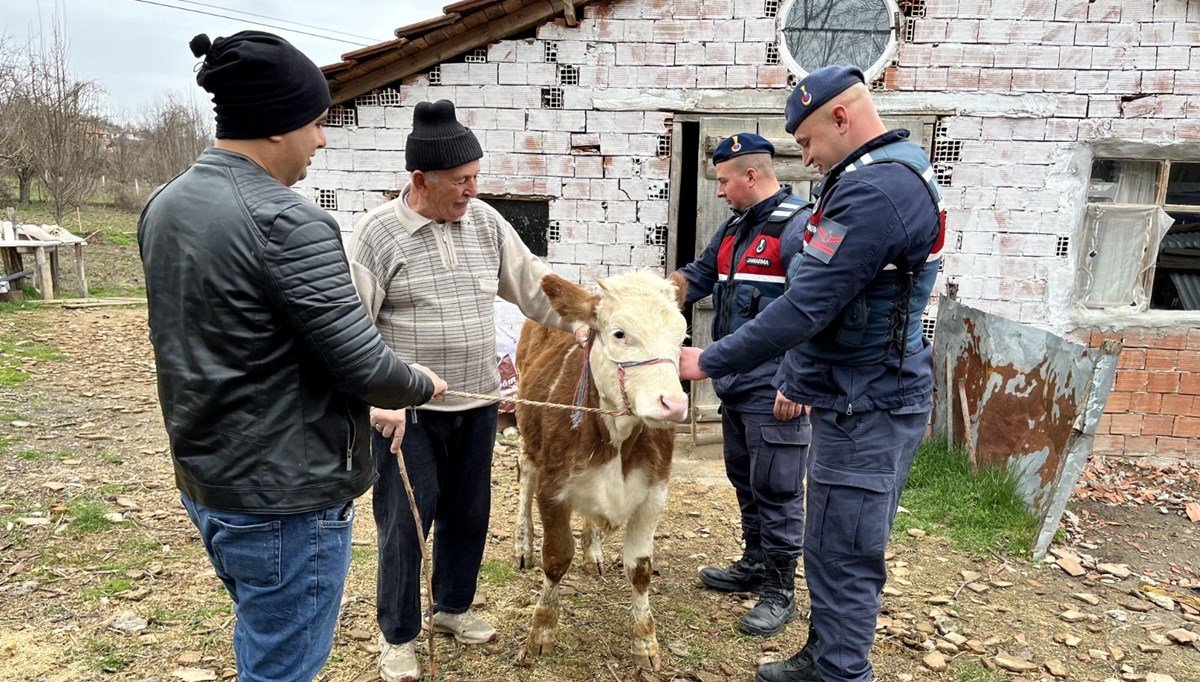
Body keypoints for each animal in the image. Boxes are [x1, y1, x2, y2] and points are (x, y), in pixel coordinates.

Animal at [511, 268, 691, 667]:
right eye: (619, 333)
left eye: (682, 336)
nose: (673, 404)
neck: (617, 438)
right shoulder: (553, 489)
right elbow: (556, 558)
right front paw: (540, 633)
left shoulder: (653, 493)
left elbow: (640, 568)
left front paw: (645, 641)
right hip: (526, 428)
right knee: (525, 475)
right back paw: (522, 543)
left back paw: (593, 549)